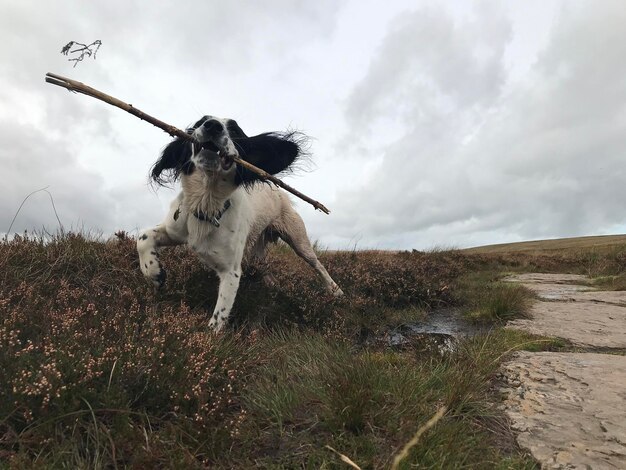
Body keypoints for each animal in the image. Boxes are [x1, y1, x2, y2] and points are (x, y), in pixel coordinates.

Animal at [137, 117, 342, 330]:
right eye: (200, 121)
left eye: (235, 131)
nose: (212, 125)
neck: (207, 206)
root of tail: (279, 192)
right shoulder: (174, 230)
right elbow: (143, 238)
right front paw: (154, 272)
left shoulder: (231, 272)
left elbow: (217, 319)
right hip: (257, 251)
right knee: (267, 270)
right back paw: (272, 286)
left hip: (298, 240)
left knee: (317, 265)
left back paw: (335, 290)